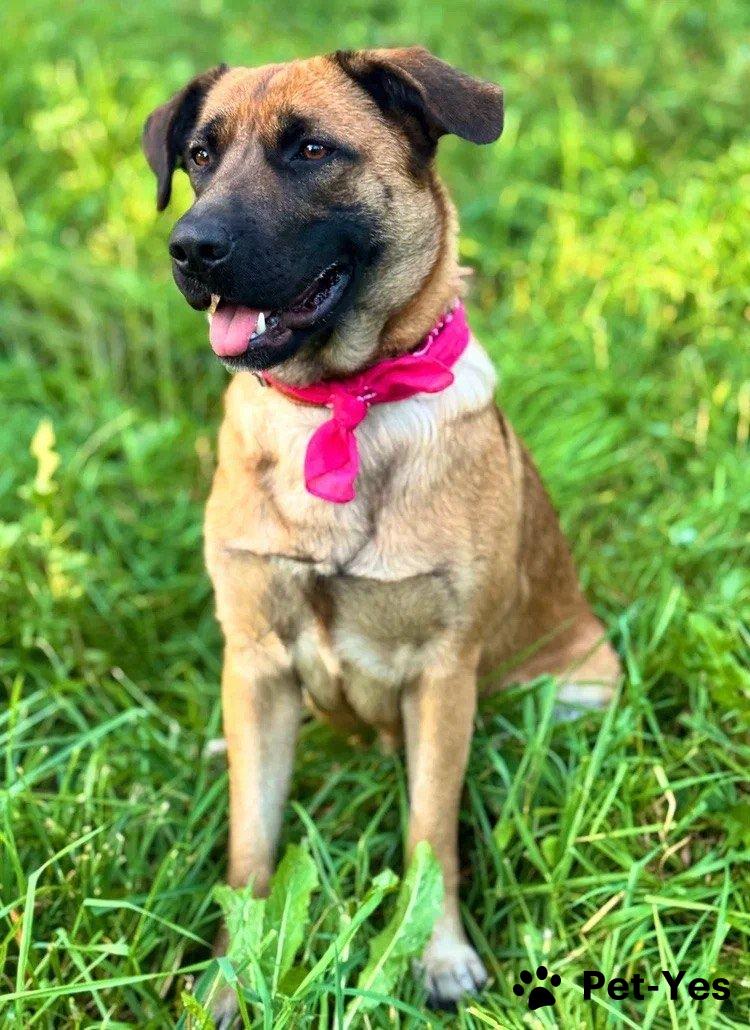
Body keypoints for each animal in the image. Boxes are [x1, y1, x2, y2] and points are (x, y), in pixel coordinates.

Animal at [143, 47, 620, 1016]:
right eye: (201, 156)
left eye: (311, 150)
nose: (190, 249)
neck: (340, 402)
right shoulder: (256, 657)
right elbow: (250, 847)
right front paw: (232, 978)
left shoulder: (441, 674)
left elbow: (430, 832)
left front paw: (435, 955)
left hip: (583, 685)